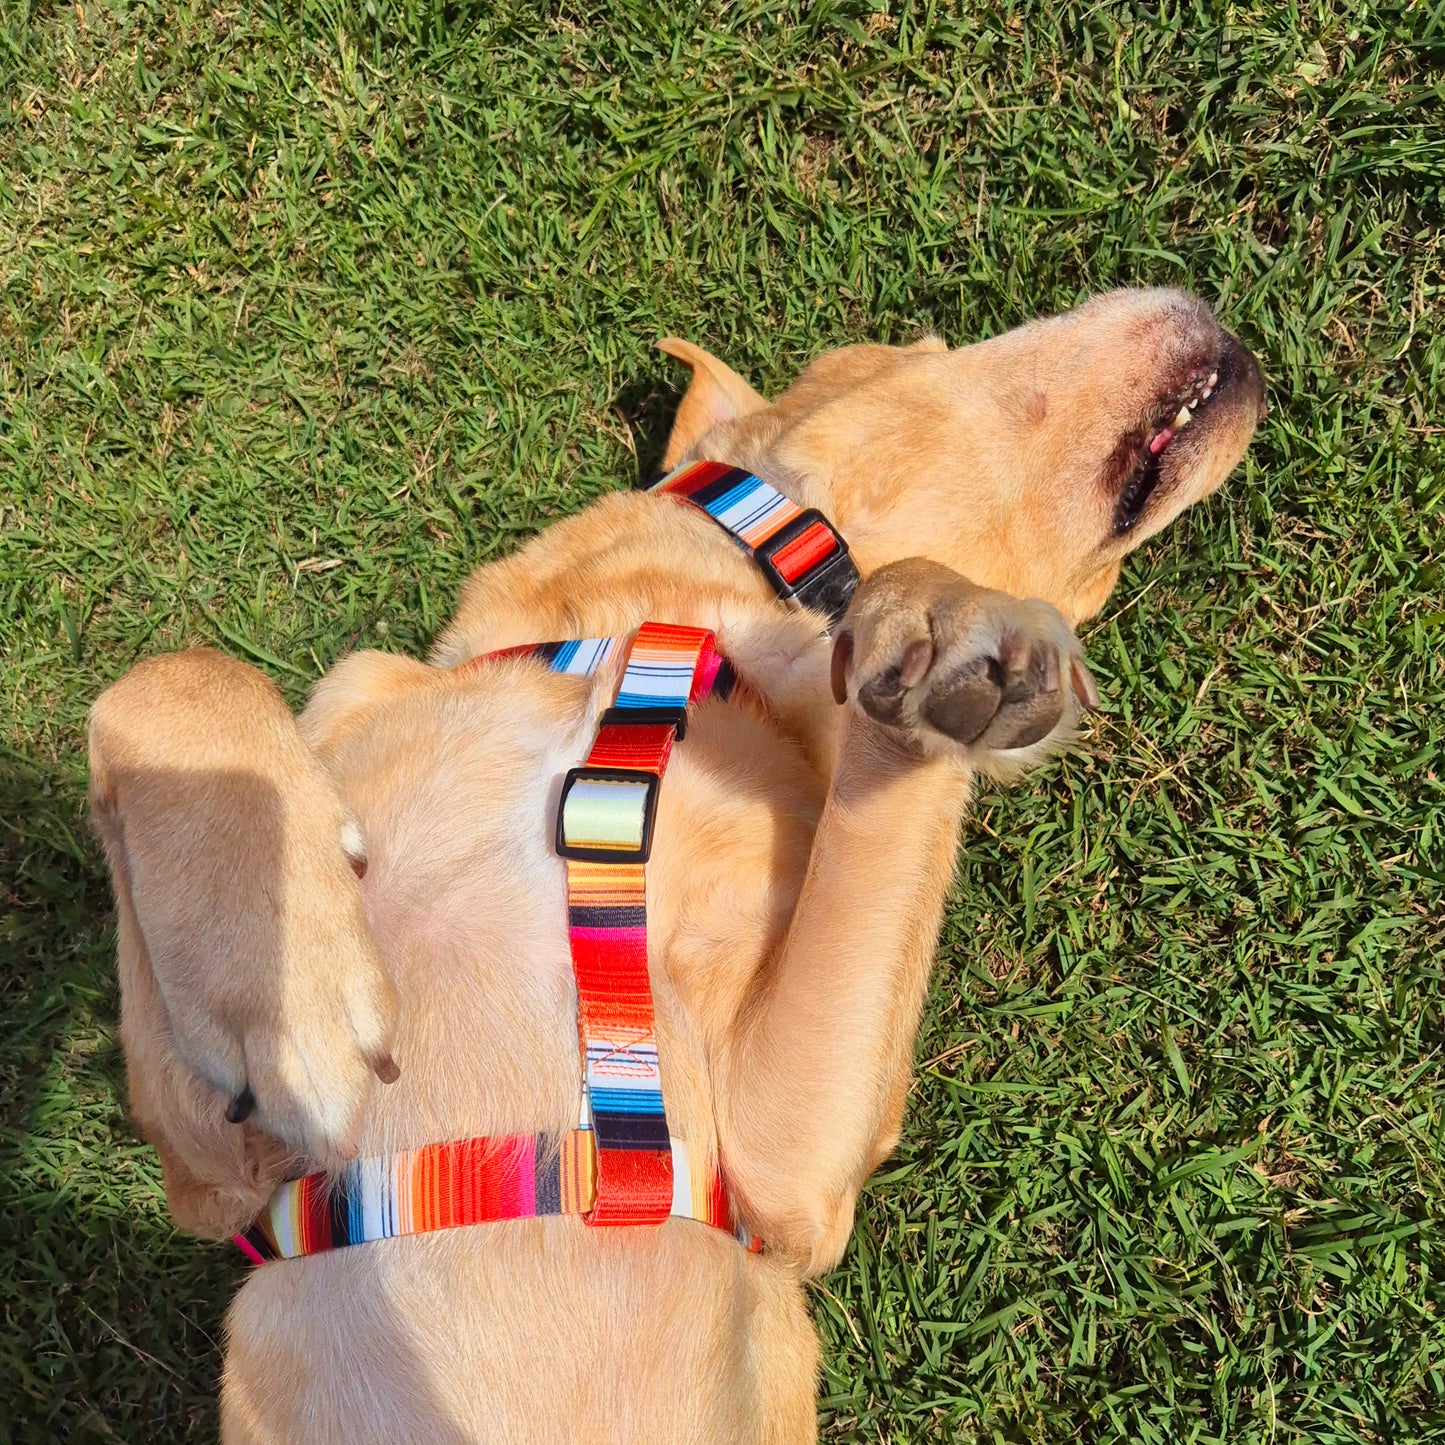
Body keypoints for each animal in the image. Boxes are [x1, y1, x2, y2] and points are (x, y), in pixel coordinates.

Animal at [90, 287, 1265, 1439]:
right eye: (931, 346)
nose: (1231, 320)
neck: (652, 646)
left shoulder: (785, 1176)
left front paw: (936, 618)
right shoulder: (217, 1173)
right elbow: (172, 670)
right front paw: (284, 975)